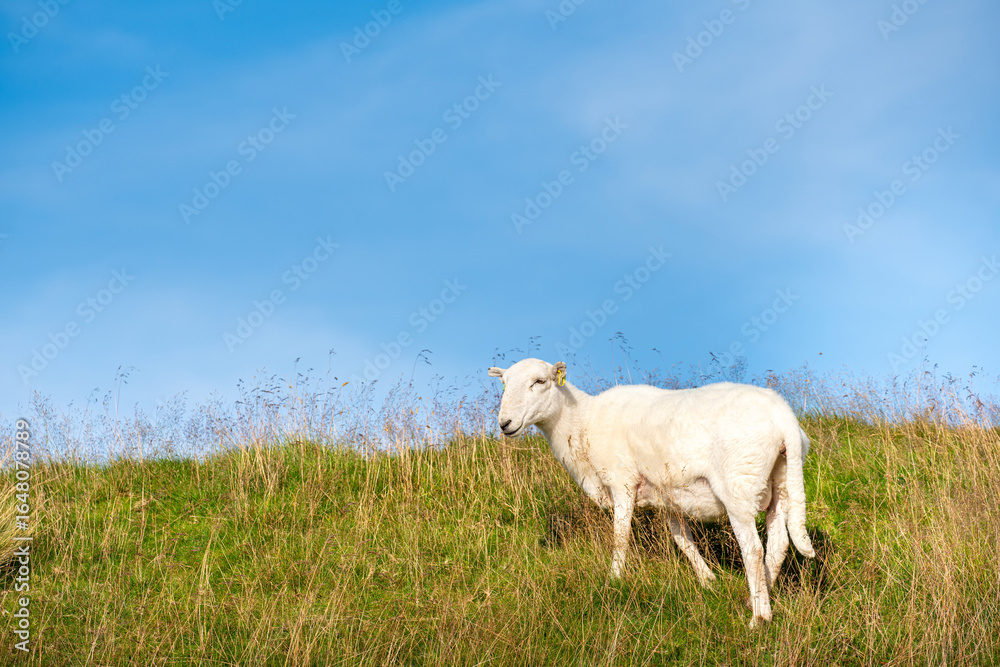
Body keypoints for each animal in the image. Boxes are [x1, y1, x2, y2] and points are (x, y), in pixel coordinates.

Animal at [488, 358, 815, 627]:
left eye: (540, 381)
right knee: (778, 546)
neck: (582, 422)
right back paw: (756, 600)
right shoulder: (668, 495)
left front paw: (614, 580)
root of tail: (783, 415)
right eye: (504, 384)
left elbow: (620, 537)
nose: (505, 424)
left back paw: (759, 618)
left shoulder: (622, 481)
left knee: (754, 551)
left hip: (738, 484)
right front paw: (708, 580)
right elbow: (683, 540)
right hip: (780, 483)